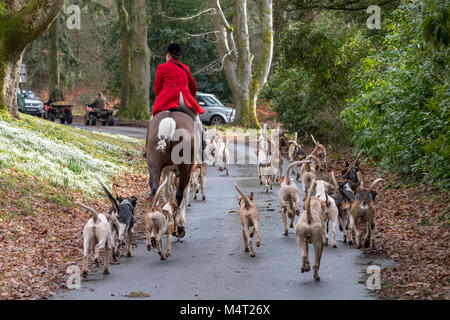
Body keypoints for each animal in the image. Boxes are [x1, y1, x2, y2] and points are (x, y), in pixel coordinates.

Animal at [146, 110, 195, 238]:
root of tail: (170, 118)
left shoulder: (166, 170)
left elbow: (167, 191)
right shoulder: (186, 172)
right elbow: (182, 194)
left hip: (154, 168)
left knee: (155, 192)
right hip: (185, 170)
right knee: (179, 195)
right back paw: (178, 227)